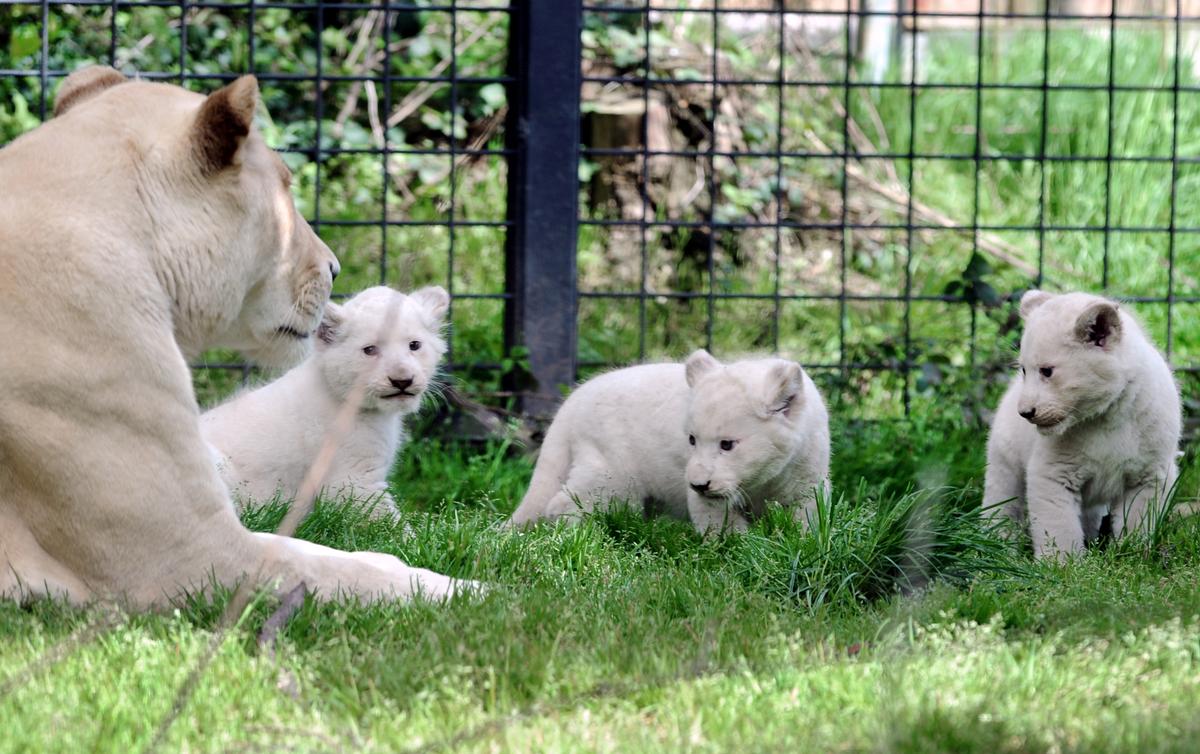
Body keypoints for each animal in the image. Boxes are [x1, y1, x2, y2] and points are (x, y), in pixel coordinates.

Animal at [0, 67, 478, 607]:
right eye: (370, 350)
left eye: (415, 346)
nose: (334, 267)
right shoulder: (191, 551)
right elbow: (356, 561)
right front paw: (475, 586)